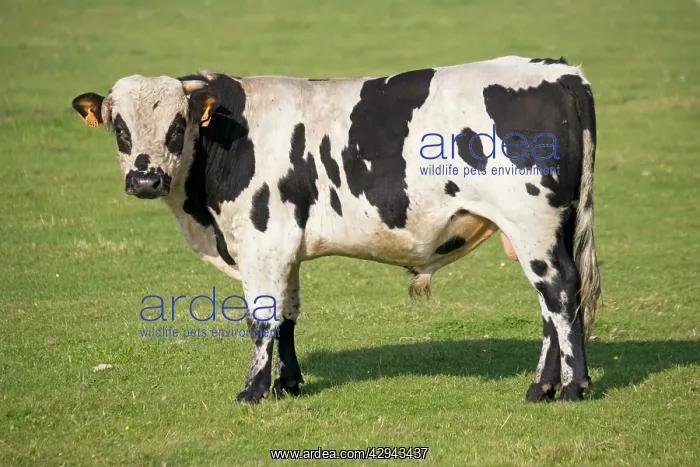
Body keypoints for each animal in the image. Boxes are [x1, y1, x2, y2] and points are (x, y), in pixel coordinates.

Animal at [71, 55, 601, 403]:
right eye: (119, 128)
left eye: (178, 126)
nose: (145, 179)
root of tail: (558, 70)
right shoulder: (285, 246)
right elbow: (287, 315)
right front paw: (288, 384)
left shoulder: (262, 241)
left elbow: (261, 319)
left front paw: (252, 391)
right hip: (542, 230)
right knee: (552, 306)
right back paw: (542, 386)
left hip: (533, 225)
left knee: (560, 292)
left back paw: (572, 387)